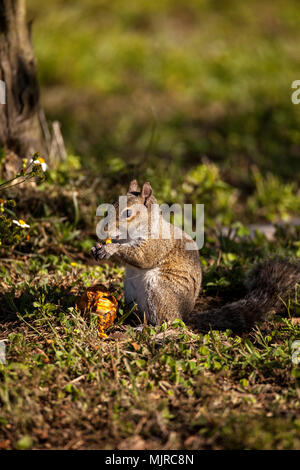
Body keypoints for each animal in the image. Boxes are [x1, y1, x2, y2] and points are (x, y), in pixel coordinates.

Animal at [91, 179, 300, 330]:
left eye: (128, 213)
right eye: (112, 203)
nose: (105, 229)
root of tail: (185, 316)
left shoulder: (158, 244)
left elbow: (143, 257)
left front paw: (111, 249)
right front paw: (98, 247)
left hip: (159, 290)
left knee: (169, 323)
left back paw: (148, 329)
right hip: (131, 291)